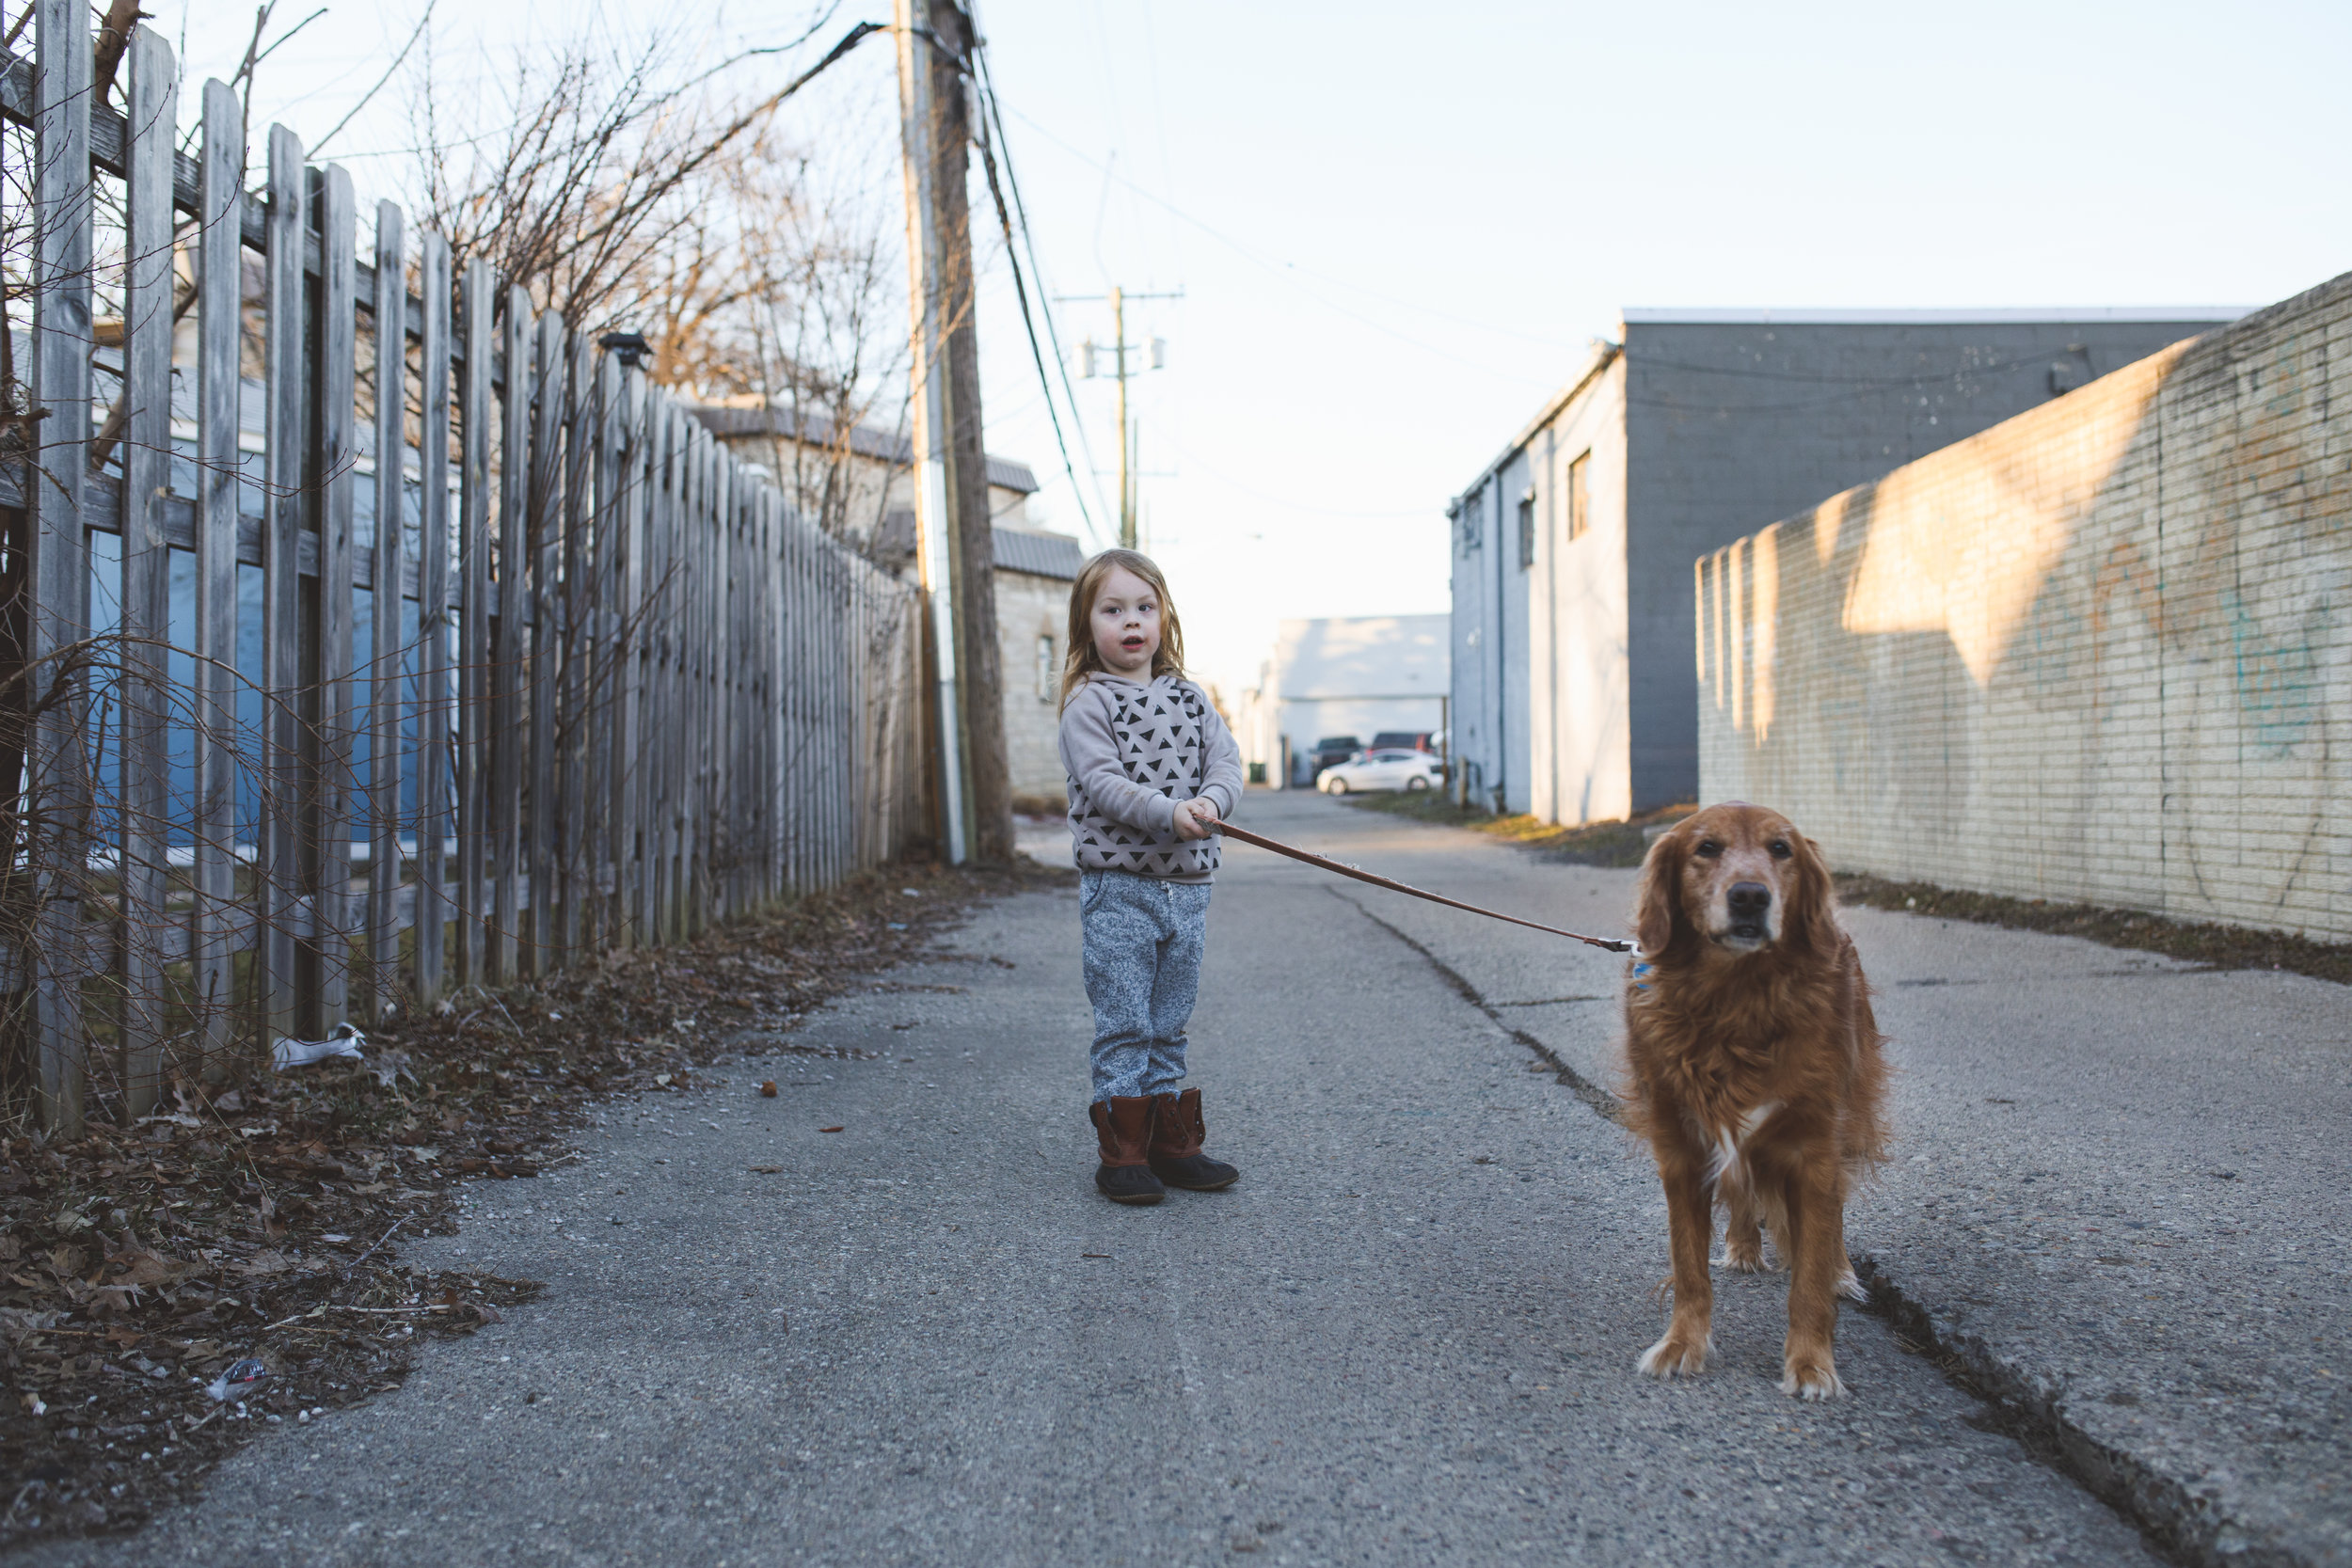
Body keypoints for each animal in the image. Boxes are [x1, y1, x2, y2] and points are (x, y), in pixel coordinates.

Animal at [1628, 803, 1882, 1401]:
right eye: (1706, 848)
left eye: (1781, 849)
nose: (1749, 896)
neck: (1736, 1001)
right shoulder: (1683, 1150)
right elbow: (1688, 1266)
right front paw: (1682, 1344)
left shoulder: (1815, 1149)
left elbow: (1809, 1275)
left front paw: (1812, 1363)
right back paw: (1743, 1245)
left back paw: (1840, 1270)